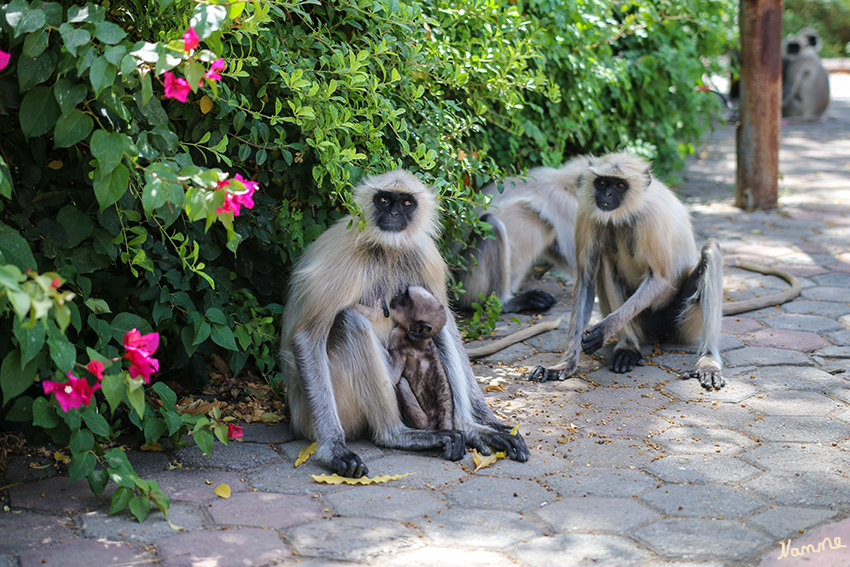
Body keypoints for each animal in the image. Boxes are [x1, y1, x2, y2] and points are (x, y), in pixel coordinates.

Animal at [282, 170, 528, 480]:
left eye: (407, 203)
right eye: (384, 199)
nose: (394, 213)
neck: (386, 248)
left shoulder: (426, 255)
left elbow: (448, 325)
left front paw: (485, 422)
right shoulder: (343, 260)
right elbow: (307, 336)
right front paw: (334, 450)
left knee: (438, 330)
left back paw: (467, 427)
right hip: (317, 413)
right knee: (350, 322)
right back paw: (396, 435)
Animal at [454, 158, 588, 312]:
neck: (563, 183)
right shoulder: (563, 202)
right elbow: (575, 260)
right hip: (467, 281)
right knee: (491, 222)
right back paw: (506, 302)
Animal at [528, 151, 724, 390]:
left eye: (620, 185)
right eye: (602, 183)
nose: (607, 193)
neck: (625, 211)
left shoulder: (651, 217)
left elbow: (659, 279)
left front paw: (604, 330)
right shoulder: (587, 212)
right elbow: (585, 280)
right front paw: (565, 365)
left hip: (684, 324)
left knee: (711, 250)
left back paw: (708, 361)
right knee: (605, 260)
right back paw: (628, 347)